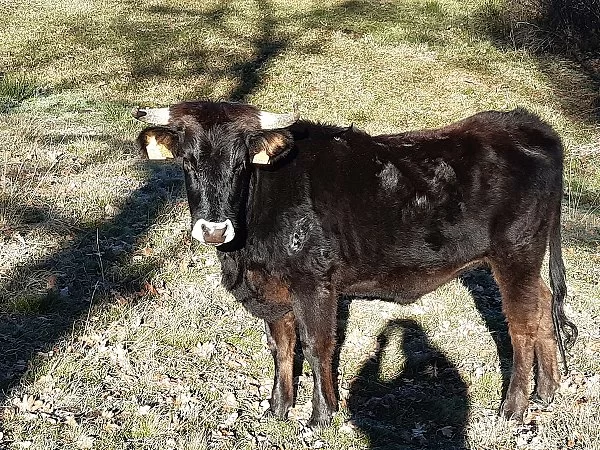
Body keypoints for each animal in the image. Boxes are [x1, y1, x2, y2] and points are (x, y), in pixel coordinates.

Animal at [132, 102, 576, 428]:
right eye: (188, 162)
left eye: (242, 163)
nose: (213, 229)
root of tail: (529, 124)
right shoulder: (273, 288)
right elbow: (281, 346)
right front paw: (278, 408)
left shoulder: (314, 281)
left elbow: (316, 346)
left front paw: (321, 415)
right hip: (527, 258)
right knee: (543, 304)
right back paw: (546, 391)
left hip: (516, 253)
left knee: (522, 326)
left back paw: (512, 409)